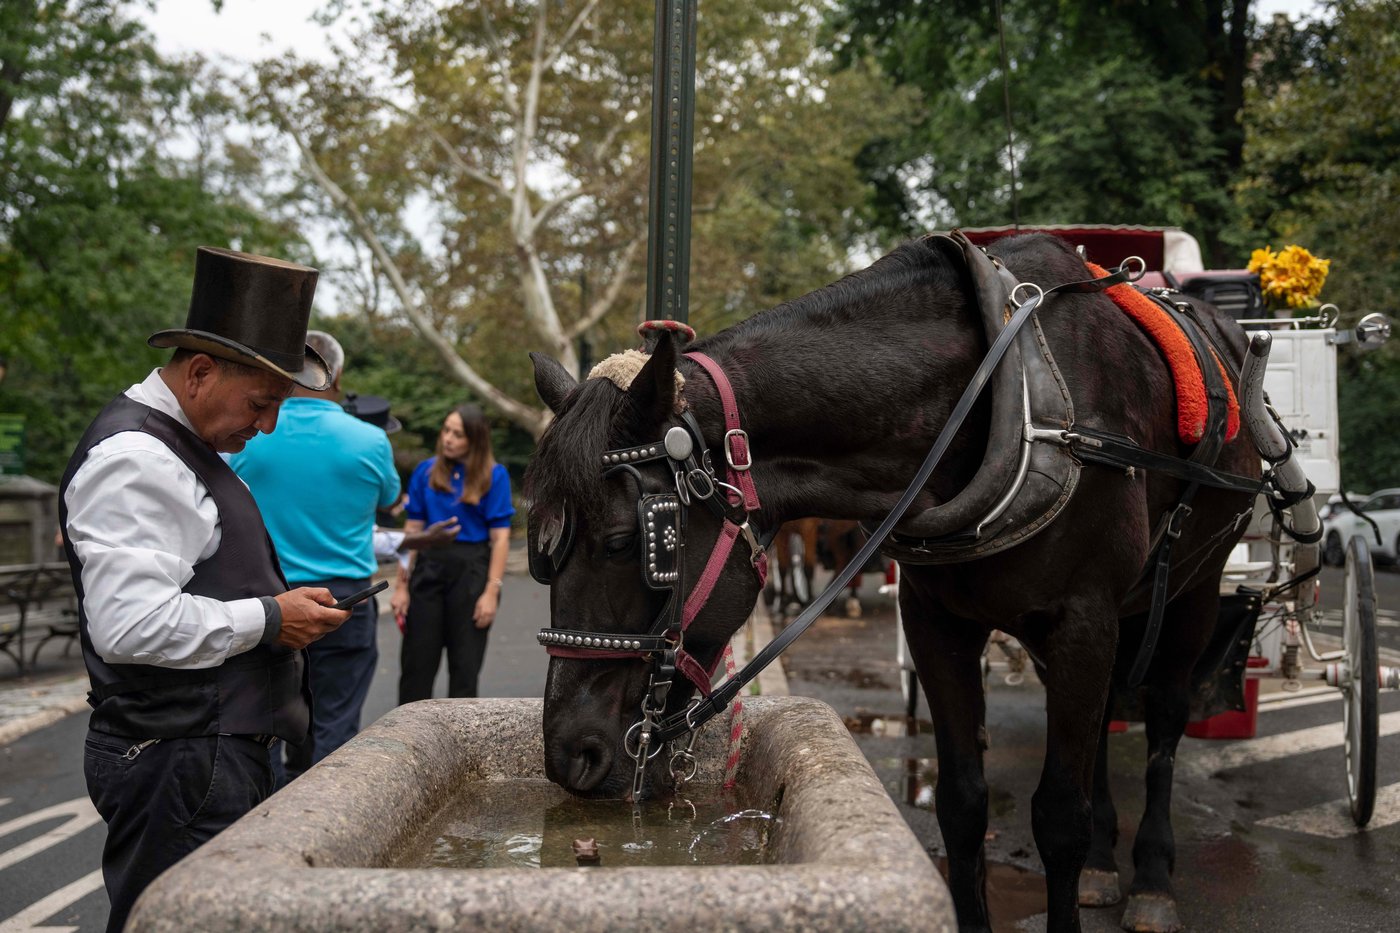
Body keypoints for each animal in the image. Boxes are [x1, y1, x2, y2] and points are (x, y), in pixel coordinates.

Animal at [525, 231, 1262, 933]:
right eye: (542, 552)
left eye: (626, 541)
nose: (569, 754)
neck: (1007, 395)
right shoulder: (938, 620)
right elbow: (963, 802)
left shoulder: (1083, 618)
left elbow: (1059, 816)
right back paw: (1106, 865)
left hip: (1194, 586)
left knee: (1163, 716)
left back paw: (1151, 879)